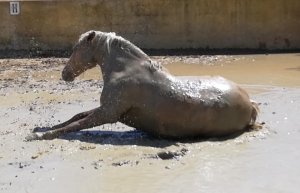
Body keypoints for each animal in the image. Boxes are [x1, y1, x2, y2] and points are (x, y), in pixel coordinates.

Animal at [25, 30, 260, 142]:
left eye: (76, 48)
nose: (65, 74)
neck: (124, 69)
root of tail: (251, 104)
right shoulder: (106, 109)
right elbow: (76, 117)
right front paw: (41, 128)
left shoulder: (108, 113)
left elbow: (75, 125)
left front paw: (37, 136)